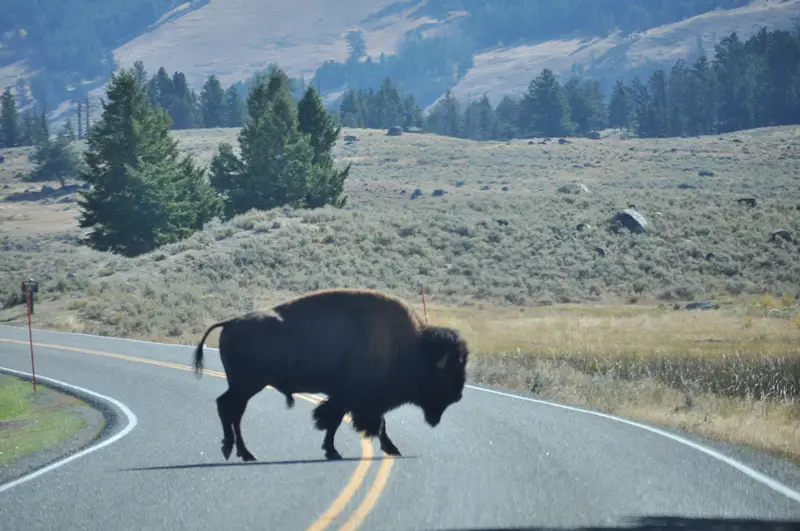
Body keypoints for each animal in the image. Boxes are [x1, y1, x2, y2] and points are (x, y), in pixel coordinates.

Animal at [192, 286, 468, 462]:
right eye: (449, 370)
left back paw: (239, 451)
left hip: (243, 386)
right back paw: (242, 452)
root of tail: (230, 322)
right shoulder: (355, 398)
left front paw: (333, 450)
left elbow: (344, 422)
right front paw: (386, 449)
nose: (458, 396)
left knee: (229, 409)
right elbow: (354, 421)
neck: (409, 346)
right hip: (247, 385)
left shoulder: (351, 399)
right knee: (230, 409)